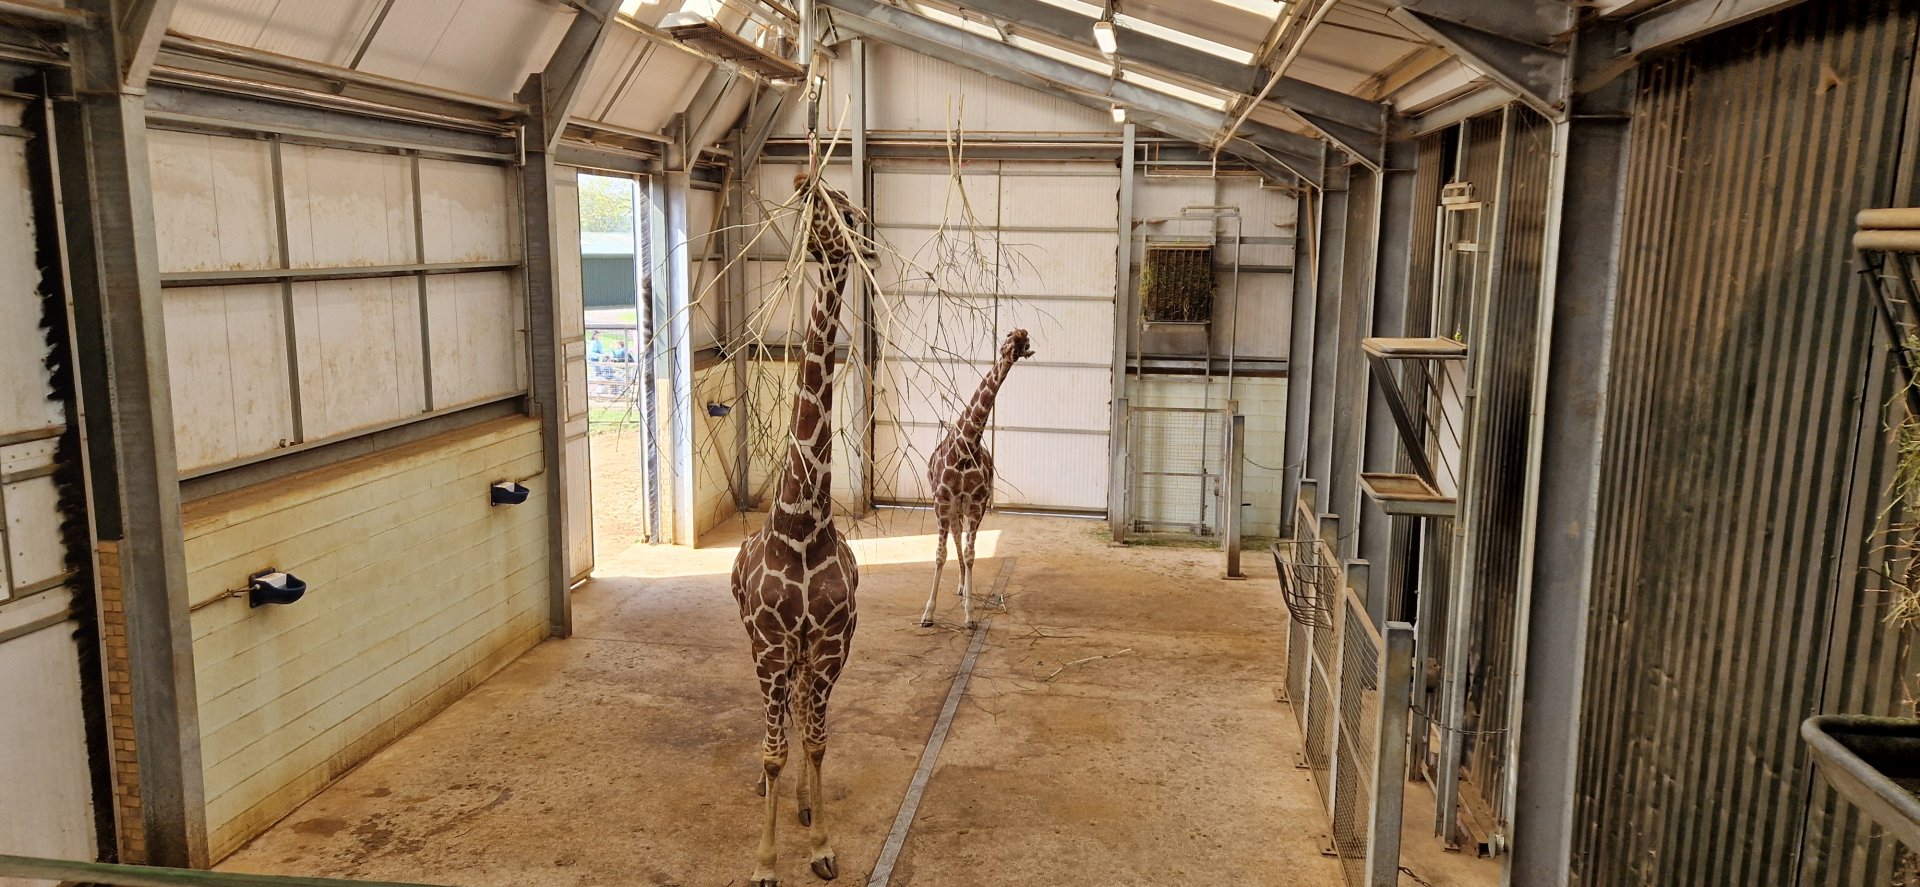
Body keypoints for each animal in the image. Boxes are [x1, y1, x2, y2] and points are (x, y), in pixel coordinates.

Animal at [918, 328, 1036, 629]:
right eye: (1009, 335)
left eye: (1024, 343)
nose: (1020, 336)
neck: (966, 446)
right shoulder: (941, 502)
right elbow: (939, 555)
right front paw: (928, 613)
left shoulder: (976, 504)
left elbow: (972, 556)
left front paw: (969, 615)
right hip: (951, 510)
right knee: (954, 540)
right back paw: (958, 587)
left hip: (963, 509)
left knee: (962, 544)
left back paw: (963, 587)